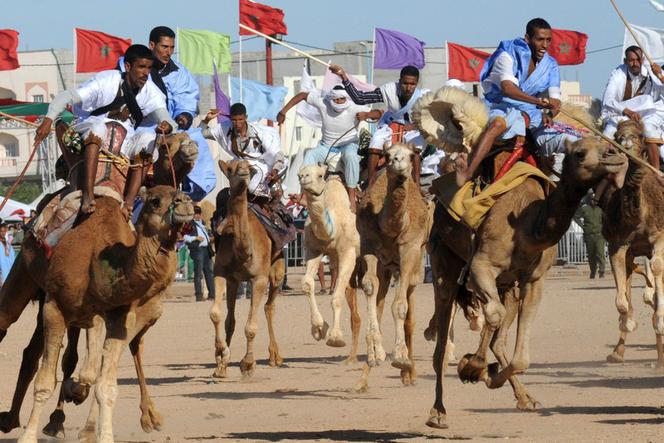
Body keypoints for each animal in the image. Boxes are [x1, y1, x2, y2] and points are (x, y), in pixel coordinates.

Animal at [211, 160, 286, 378]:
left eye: (248, 167)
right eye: (231, 168)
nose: (244, 172)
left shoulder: (259, 278)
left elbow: (251, 327)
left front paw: (248, 363)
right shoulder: (221, 272)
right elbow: (217, 314)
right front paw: (221, 357)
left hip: (277, 268)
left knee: (269, 307)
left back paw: (275, 357)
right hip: (234, 281)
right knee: (231, 319)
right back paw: (223, 363)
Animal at [300, 165, 364, 362]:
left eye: (320, 175)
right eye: (300, 173)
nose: (304, 177)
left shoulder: (348, 252)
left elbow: (336, 298)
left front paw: (335, 338)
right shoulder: (314, 250)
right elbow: (307, 284)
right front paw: (319, 329)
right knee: (356, 312)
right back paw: (351, 359)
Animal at [356, 143, 434, 392]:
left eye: (410, 155)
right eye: (387, 154)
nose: (398, 162)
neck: (391, 227)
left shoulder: (410, 249)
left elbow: (400, 307)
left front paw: (400, 357)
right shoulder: (368, 244)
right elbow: (370, 287)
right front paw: (375, 352)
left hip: (415, 266)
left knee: (409, 315)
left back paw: (410, 371)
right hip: (388, 267)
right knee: (380, 302)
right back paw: (365, 378)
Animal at [426, 137, 628, 428]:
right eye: (580, 153)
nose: (615, 155)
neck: (527, 225)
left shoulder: (534, 280)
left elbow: (520, 355)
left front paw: (484, 373)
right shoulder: (480, 266)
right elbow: (493, 316)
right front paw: (473, 367)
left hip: (507, 286)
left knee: (498, 335)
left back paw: (523, 397)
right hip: (444, 259)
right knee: (442, 342)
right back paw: (438, 412)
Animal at [600, 119, 664, 370]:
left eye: (640, 135)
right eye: (618, 136)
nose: (626, 146)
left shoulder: (658, 236)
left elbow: (656, 268)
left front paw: (660, 320)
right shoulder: (618, 245)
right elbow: (622, 303)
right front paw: (629, 323)